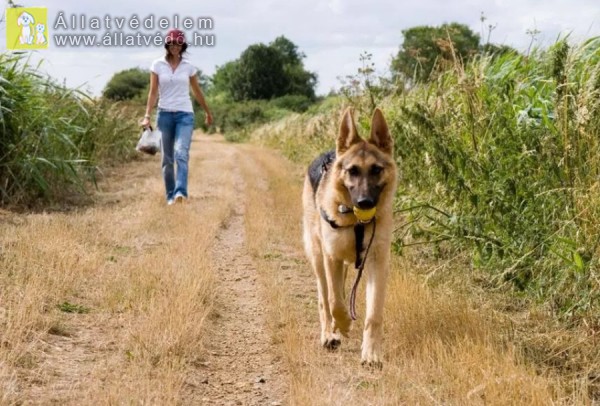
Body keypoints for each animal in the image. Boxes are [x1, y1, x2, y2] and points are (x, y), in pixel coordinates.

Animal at [302, 108, 396, 368]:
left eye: (376, 169)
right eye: (352, 171)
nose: (364, 203)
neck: (356, 223)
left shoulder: (377, 263)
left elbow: (374, 314)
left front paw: (371, 353)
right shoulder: (331, 257)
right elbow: (335, 302)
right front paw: (343, 325)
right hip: (319, 260)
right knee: (325, 299)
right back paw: (329, 334)